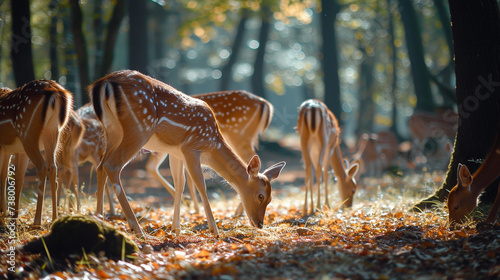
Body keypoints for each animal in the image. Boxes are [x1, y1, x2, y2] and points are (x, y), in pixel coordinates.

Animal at [0, 79, 72, 225]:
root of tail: (56, 92)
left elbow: (3, 175)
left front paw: (5, 216)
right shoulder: (13, 150)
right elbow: (15, 177)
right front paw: (11, 216)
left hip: (28, 135)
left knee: (42, 166)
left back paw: (37, 222)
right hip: (53, 133)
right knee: (53, 168)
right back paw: (54, 218)